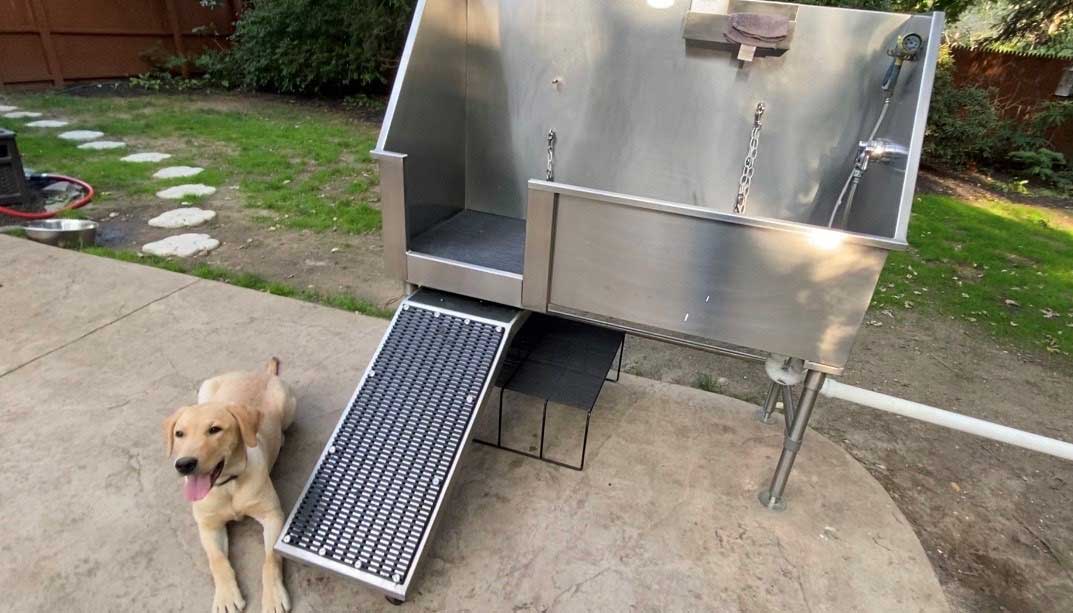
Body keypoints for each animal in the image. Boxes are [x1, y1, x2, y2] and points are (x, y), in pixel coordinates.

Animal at [163, 357, 297, 613]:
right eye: (179, 434)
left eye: (215, 429)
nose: (184, 464)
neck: (228, 485)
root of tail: (260, 373)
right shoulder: (208, 525)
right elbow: (218, 560)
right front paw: (226, 597)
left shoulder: (272, 515)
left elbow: (270, 559)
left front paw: (273, 596)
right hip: (206, 388)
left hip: (288, 406)